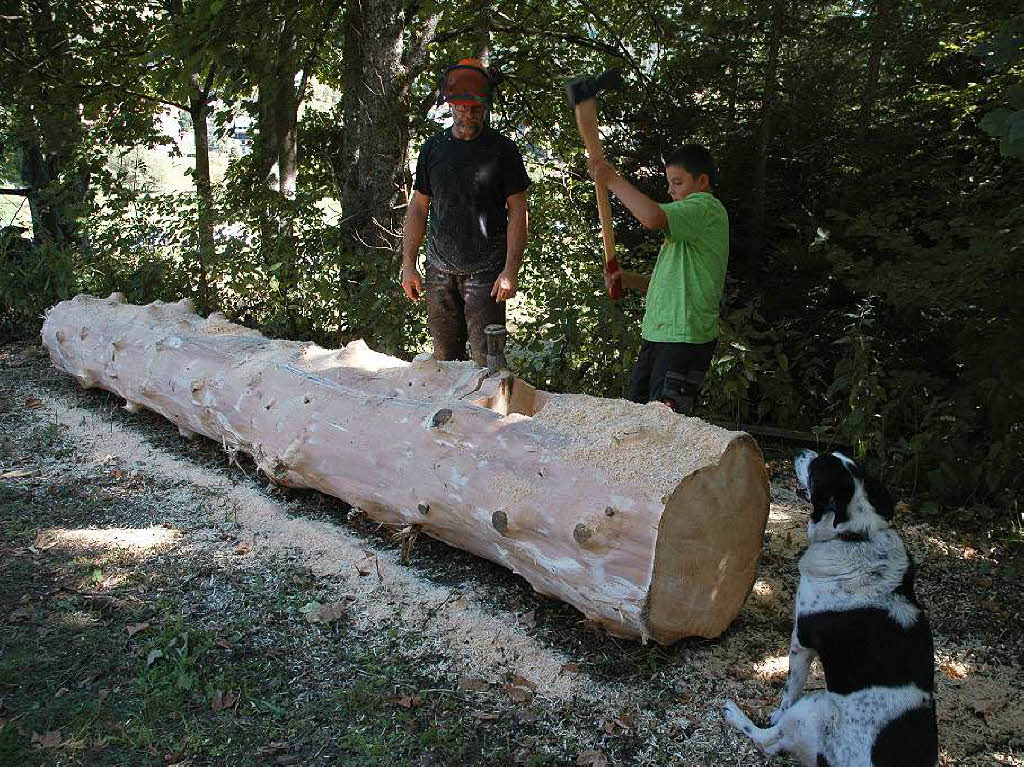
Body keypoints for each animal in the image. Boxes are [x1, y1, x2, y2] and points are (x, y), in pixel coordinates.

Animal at [720, 448, 937, 765]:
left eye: (816, 468)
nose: (802, 450)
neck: (855, 537)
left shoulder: (801, 642)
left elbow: (789, 690)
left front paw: (775, 711)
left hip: (813, 705)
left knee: (768, 740)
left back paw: (734, 714)